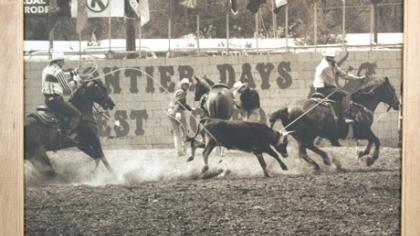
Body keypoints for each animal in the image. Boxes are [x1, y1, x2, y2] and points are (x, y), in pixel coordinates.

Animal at [270, 77, 400, 171]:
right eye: (393, 89)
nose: (398, 104)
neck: (361, 105)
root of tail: (286, 109)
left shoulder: (366, 131)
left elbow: (371, 141)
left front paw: (363, 153)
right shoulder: (363, 131)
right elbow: (376, 140)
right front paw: (371, 159)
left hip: (302, 135)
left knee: (306, 149)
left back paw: (325, 162)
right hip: (307, 134)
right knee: (305, 149)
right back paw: (325, 161)